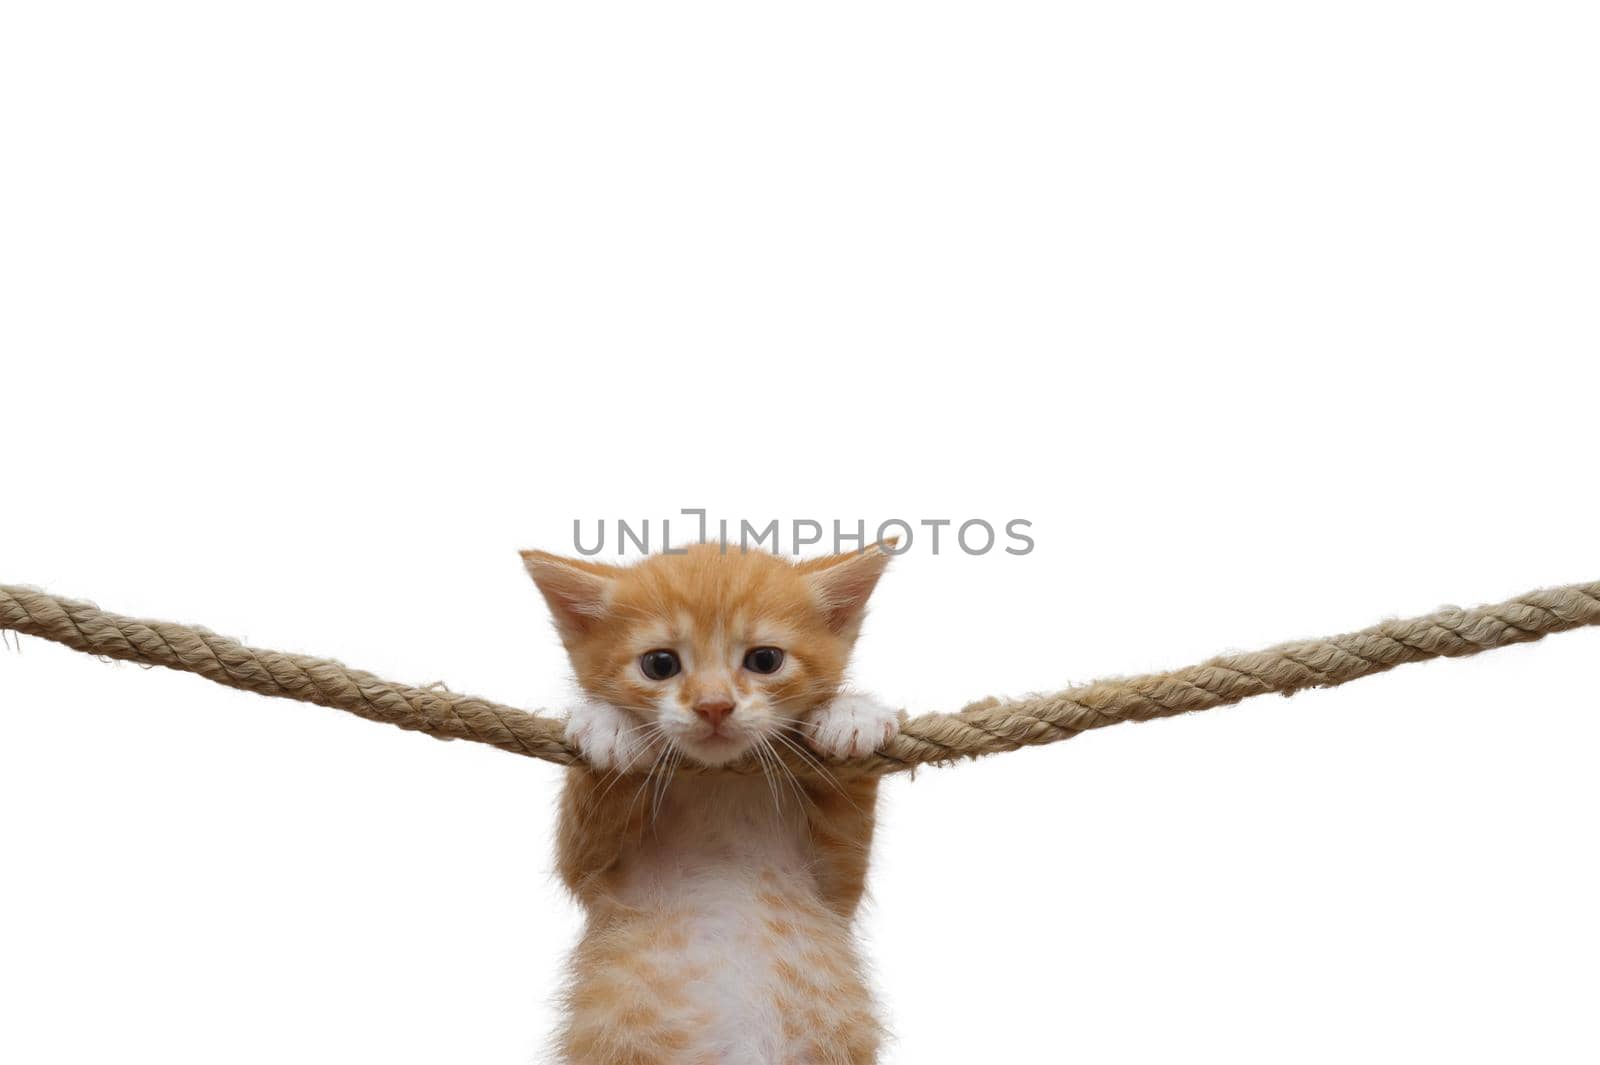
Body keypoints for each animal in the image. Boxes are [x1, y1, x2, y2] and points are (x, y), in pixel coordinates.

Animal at [521, 543, 902, 1055]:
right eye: (660, 665)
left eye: (765, 660)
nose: (714, 706)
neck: (718, 786)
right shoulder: (595, 872)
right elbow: (585, 827)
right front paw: (609, 725)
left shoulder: (835, 879)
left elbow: (845, 821)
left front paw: (850, 713)